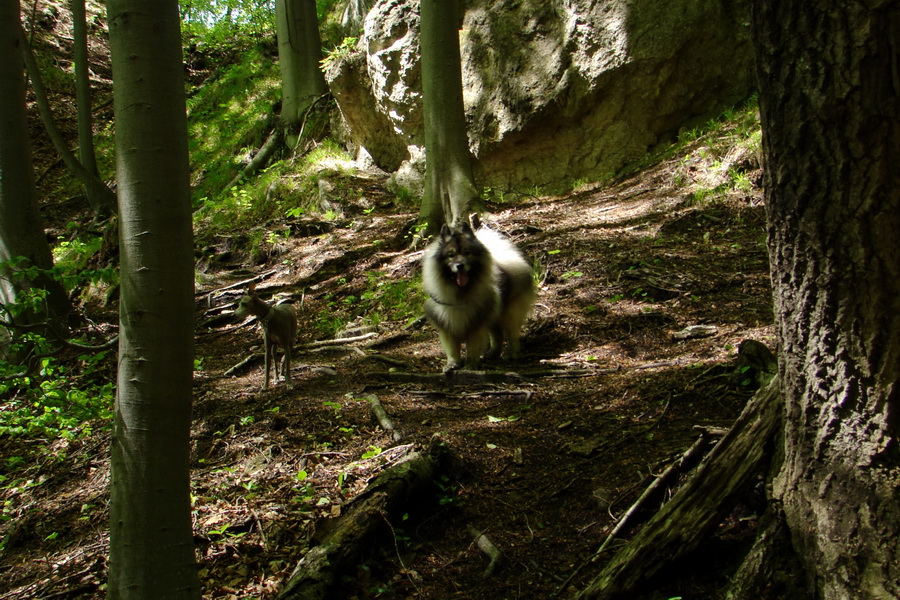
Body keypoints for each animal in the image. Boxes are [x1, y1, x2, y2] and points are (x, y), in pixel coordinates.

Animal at [422, 220, 536, 370]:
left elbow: (472, 348)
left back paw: (512, 354)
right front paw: (452, 364)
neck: (460, 294)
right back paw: (493, 353)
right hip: (493, 314)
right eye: (451, 255)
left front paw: (470, 365)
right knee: (497, 335)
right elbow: (452, 349)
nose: (460, 265)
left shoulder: (475, 325)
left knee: (512, 335)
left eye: (467, 253)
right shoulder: (447, 325)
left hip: (508, 313)